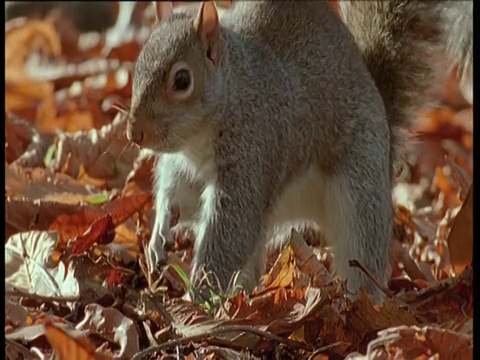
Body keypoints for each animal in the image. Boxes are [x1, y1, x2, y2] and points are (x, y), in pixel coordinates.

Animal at [126, 0, 472, 304]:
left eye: (182, 80)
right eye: (138, 64)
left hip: (361, 193)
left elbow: (230, 232)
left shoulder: (253, 153)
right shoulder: (182, 166)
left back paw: (361, 303)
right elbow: (173, 193)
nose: (134, 133)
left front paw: (197, 297)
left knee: (362, 254)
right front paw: (159, 235)